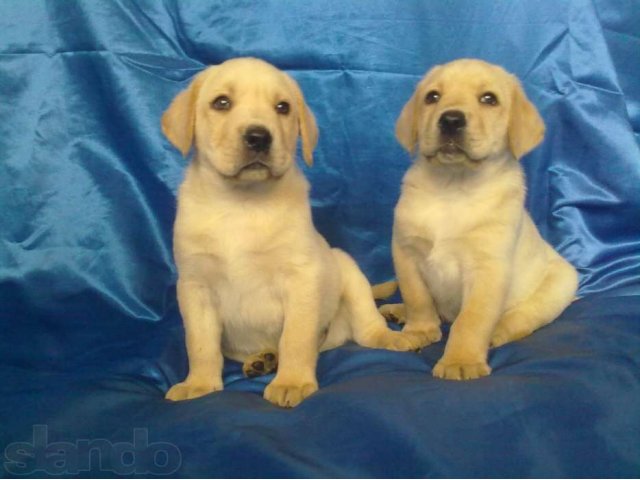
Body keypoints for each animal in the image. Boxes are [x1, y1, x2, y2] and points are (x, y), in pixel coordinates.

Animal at [161, 58, 424, 406]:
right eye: (221, 103)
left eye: (282, 107)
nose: (259, 137)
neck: (241, 203)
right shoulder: (194, 285)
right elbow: (200, 343)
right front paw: (199, 384)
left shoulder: (301, 278)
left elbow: (296, 338)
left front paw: (293, 381)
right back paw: (263, 359)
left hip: (348, 272)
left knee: (368, 327)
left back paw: (393, 338)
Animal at [384, 60, 580, 380]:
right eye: (432, 97)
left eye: (489, 99)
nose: (451, 120)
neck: (453, 188)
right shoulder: (406, 252)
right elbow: (418, 298)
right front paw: (419, 330)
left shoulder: (488, 268)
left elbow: (471, 320)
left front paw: (460, 360)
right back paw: (398, 311)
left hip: (557, 287)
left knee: (521, 318)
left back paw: (497, 332)